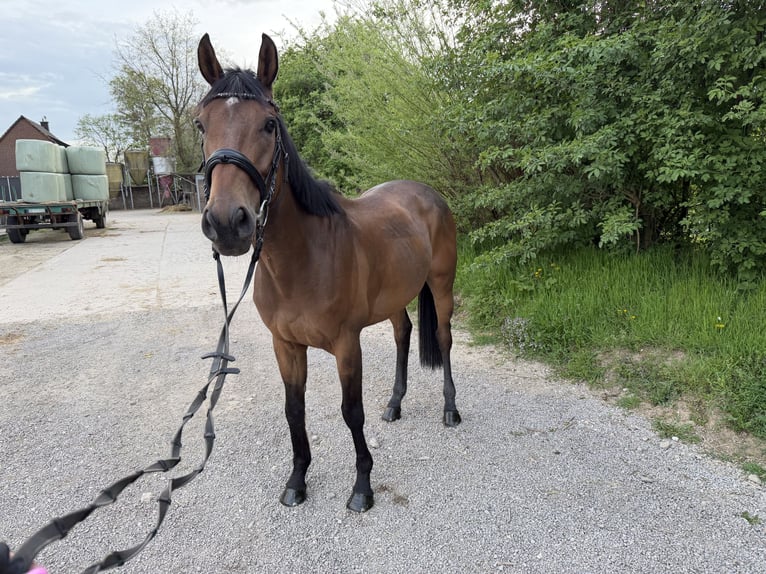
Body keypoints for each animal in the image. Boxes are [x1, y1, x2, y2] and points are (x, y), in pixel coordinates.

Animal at [195, 32, 461, 513]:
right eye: (201, 125)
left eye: (269, 124)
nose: (226, 222)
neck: (301, 261)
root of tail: (428, 194)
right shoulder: (285, 346)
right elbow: (294, 411)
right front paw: (297, 480)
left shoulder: (346, 343)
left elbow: (350, 412)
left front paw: (362, 486)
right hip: (395, 297)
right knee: (403, 332)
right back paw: (395, 403)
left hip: (442, 286)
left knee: (444, 338)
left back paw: (450, 409)